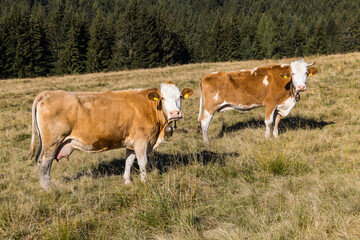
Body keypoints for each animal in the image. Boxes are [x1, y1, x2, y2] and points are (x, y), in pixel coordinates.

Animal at [28, 81, 194, 190]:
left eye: (180, 96)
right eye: (162, 98)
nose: (175, 113)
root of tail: (48, 94)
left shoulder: (131, 142)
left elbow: (129, 161)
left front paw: (127, 181)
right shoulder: (141, 141)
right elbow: (142, 162)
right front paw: (145, 182)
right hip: (52, 143)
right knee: (44, 163)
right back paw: (47, 188)